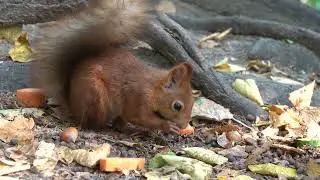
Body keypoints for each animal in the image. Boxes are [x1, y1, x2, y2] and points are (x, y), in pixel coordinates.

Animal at [31, 0, 194, 134]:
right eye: (177, 106)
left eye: (192, 103)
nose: (183, 125)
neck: (152, 87)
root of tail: (72, 104)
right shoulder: (138, 97)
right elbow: (139, 116)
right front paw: (167, 126)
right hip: (96, 96)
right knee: (92, 123)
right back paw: (103, 127)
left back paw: (120, 127)